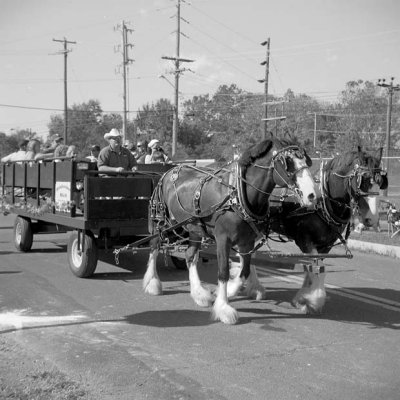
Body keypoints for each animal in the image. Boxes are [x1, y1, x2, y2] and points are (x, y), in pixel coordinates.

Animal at [144, 138, 318, 324]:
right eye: (288, 163)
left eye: (306, 161)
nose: (312, 195)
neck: (238, 195)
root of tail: (170, 170)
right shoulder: (223, 239)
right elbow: (223, 272)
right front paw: (223, 308)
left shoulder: (247, 241)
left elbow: (244, 271)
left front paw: (227, 292)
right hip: (161, 221)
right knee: (154, 247)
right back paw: (152, 283)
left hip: (194, 228)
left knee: (190, 255)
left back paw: (199, 294)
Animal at [262, 145, 388, 314]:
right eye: (363, 180)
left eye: (380, 182)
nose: (372, 219)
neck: (324, 200)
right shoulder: (305, 240)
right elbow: (315, 268)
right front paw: (312, 300)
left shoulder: (326, 245)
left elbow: (317, 269)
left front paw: (303, 299)